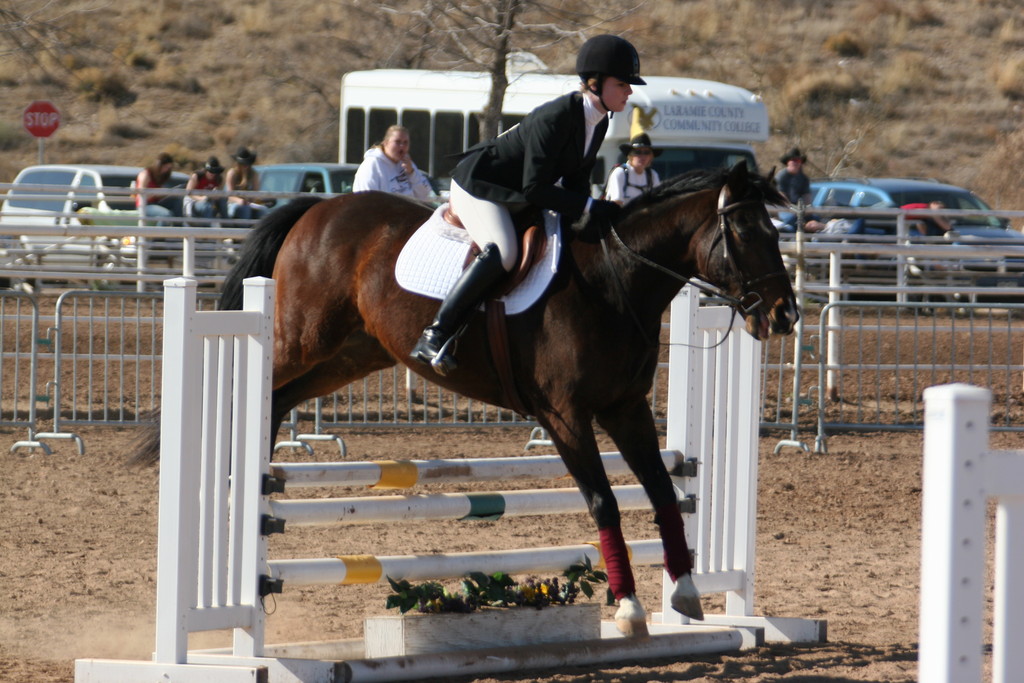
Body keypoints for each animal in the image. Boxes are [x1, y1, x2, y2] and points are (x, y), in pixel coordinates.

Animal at [140, 158, 794, 634]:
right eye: (744, 230)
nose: (784, 315)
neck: (614, 281)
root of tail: (318, 207)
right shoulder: (565, 416)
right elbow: (605, 502)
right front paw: (631, 609)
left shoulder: (624, 409)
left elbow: (663, 494)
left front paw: (685, 594)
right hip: (300, 339)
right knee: (254, 391)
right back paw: (232, 487)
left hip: (353, 353)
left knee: (276, 401)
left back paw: (255, 489)